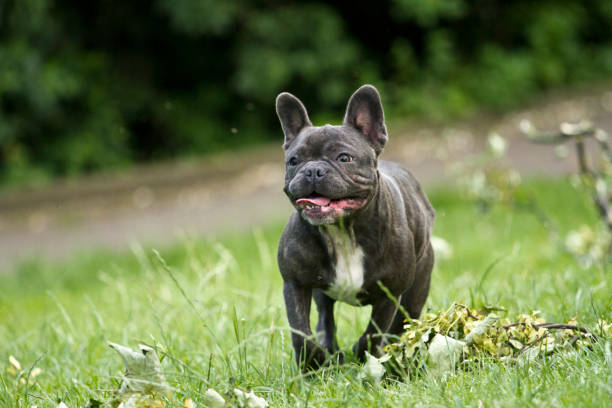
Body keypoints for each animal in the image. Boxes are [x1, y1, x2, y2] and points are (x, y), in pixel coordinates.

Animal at [278, 84, 436, 368]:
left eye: (344, 158)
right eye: (294, 161)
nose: (313, 170)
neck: (342, 229)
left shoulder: (389, 294)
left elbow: (373, 333)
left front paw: (365, 355)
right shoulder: (295, 284)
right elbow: (301, 332)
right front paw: (312, 364)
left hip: (417, 287)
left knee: (402, 322)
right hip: (322, 292)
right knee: (325, 317)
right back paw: (330, 350)